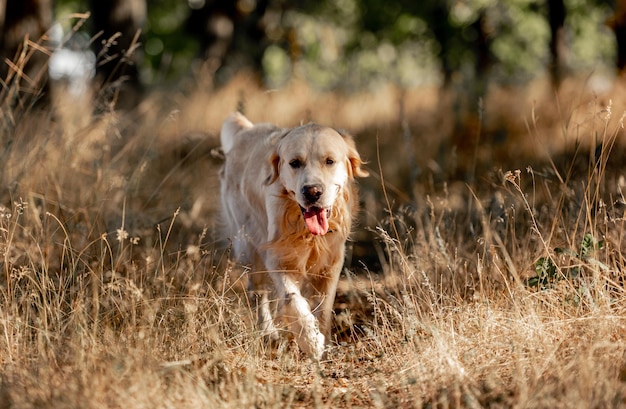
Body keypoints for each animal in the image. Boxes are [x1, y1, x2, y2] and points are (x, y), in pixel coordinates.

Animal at [218, 111, 366, 356]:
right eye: (294, 163)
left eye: (329, 161)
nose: (312, 191)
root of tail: (245, 131)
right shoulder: (277, 257)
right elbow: (292, 298)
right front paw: (311, 340)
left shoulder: (331, 262)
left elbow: (323, 306)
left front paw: (323, 340)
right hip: (249, 246)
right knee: (258, 292)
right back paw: (269, 333)